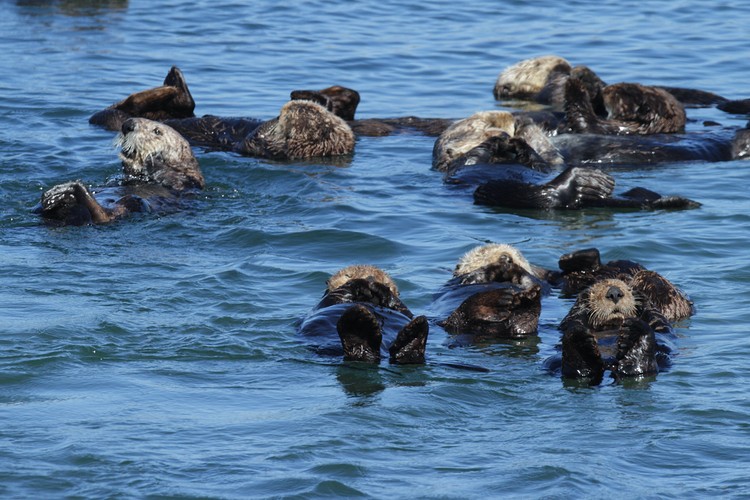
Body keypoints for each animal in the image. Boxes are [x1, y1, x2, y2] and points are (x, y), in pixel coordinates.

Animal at [37, 118, 204, 225]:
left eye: (157, 131)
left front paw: (148, 159)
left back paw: (70, 190)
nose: (128, 125)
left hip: (133, 203)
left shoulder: (183, 180)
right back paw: (57, 195)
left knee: (104, 216)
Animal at [298, 265, 429, 364]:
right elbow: (338, 294)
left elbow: (403, 309)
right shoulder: (329, 299)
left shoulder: (404, 310)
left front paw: (380, 288)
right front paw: (360, 283)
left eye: (386, 281)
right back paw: (358, 326)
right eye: (348, 275)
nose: (371, 278)